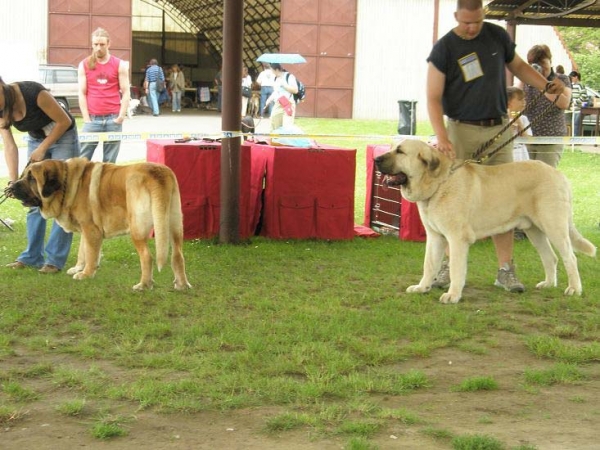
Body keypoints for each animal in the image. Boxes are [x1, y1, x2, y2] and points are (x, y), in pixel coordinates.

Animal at [9, 158, 192, 290]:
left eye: (31, 178)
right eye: (24, 175)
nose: (11, 186)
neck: (67, 185)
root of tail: (157, 173)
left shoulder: (91, 229)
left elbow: (90, 253)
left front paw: (86, 274)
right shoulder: (86, 230)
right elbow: (84, 251)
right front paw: (79, 268)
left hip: (137, 230)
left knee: (147, 257)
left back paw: (143, 285)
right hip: (174, 225)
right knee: (178, 255)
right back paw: (182, 285)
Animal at [376, 139, 596, 304]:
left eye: (400, 151)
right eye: (391, 148)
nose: (376, 158)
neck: (439, 183)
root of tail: (558, 174)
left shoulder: (457, 239)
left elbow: (456, 268)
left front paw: (453, 295)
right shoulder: (435, 237)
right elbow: (429, 264)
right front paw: (422, 287)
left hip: (554, 226)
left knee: (570, 258)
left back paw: (574, 289)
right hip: (535, 230)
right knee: (551, 258)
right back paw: (548, 284)